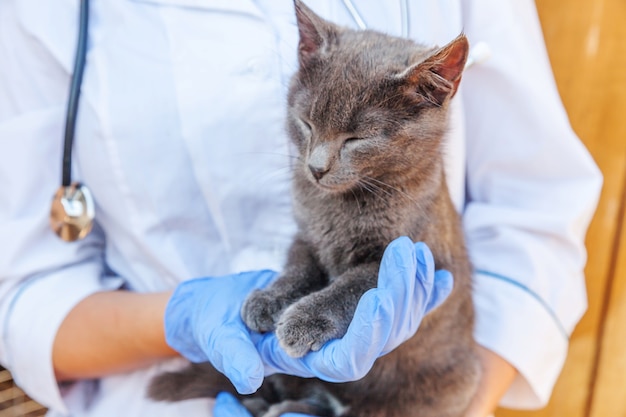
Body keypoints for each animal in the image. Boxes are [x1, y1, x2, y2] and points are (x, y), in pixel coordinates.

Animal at [149, 1, 480, 414]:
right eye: (306, 123)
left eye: (358, 139)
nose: (316, 168)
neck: (338, 206)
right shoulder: (305, 232)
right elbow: (299, 264)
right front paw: (269, 298)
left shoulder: (417, 257)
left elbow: (354, 285)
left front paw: (304, 319)